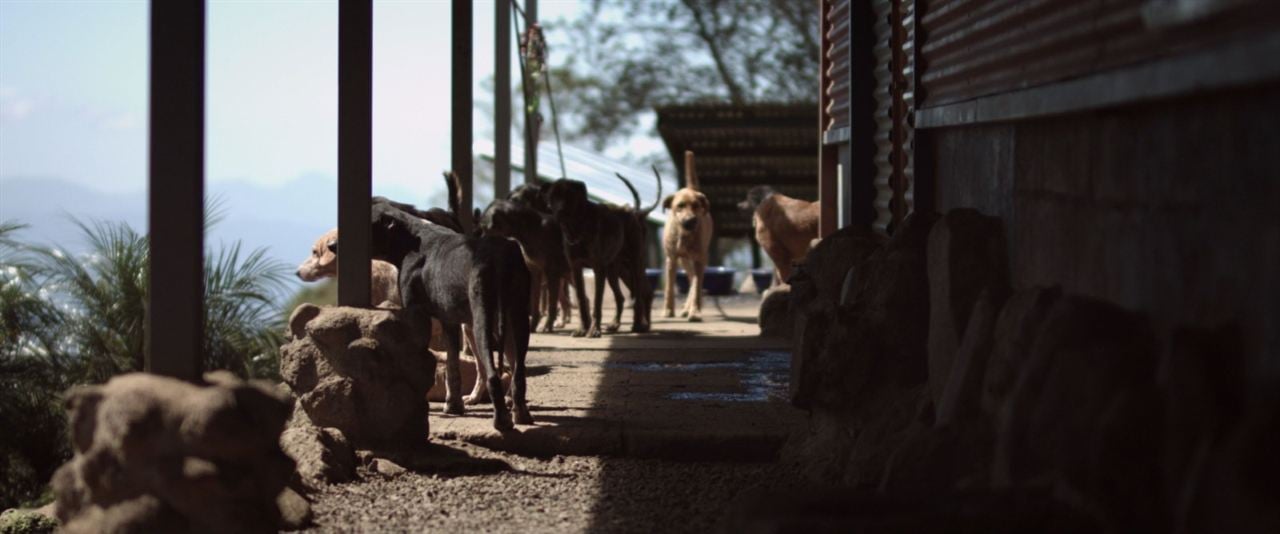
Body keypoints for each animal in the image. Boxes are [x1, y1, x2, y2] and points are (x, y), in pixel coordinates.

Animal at [368, 198, 532, 427]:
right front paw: (453, 405)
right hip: (517, 317)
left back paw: (502, 420)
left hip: (482, 319)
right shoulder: (450, 319)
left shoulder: (414, 311)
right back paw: (521, 413)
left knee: (492, 374)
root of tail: (501, 256)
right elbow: (452, 363)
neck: (412, 237)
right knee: (518, 372)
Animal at [665, 149, 716, 320]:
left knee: (695, 281)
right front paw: (668, 310)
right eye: (680, 206)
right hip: (684, 261)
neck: (685, 235)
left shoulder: (700, 259)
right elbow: (669, 289)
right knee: (692, 277)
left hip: (698, 258)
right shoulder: (672, 259)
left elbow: (697, 286)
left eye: (696, 206)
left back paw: (691, 308)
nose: (691, 220)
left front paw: (695, 311)